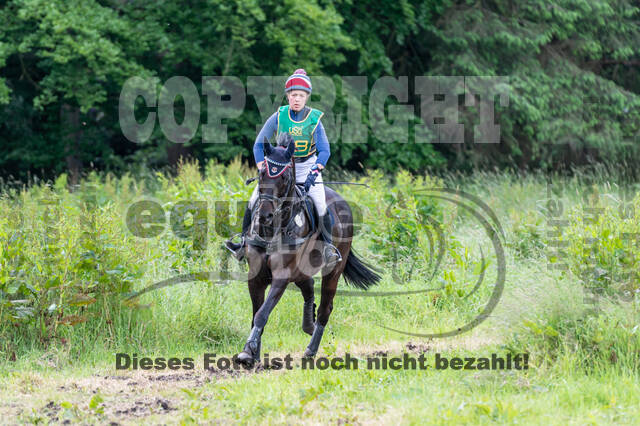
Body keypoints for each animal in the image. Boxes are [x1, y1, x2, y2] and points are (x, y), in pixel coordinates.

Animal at [235, 133, 381, 367]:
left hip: (333, 271)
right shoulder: (256, 276)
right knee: (309, 286)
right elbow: (256, 313)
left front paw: (249, 351)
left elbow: (262, 313)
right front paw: (252, 354)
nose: (265, 215)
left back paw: (311, 349)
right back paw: (308, 324)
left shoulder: (282, 276)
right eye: (261, 173)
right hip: (302, 270)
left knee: (325, 308)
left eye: (284, 178)